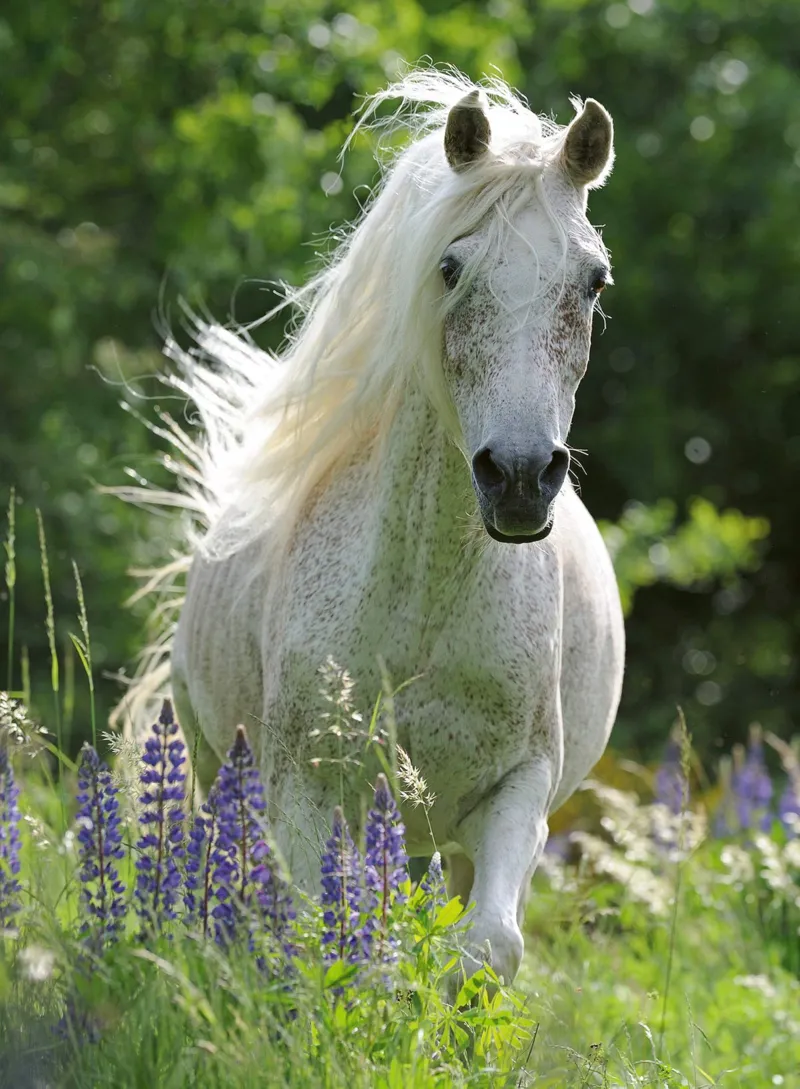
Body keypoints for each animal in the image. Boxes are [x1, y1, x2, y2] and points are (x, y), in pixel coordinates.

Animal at [128, 68, 625, 986]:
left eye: (594, 280)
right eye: (451, 265)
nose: (518, 479)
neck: (423, 601)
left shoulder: (518, 789)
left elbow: (487, 946)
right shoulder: (304, 788)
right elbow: (320, 940)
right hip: (219, 768)